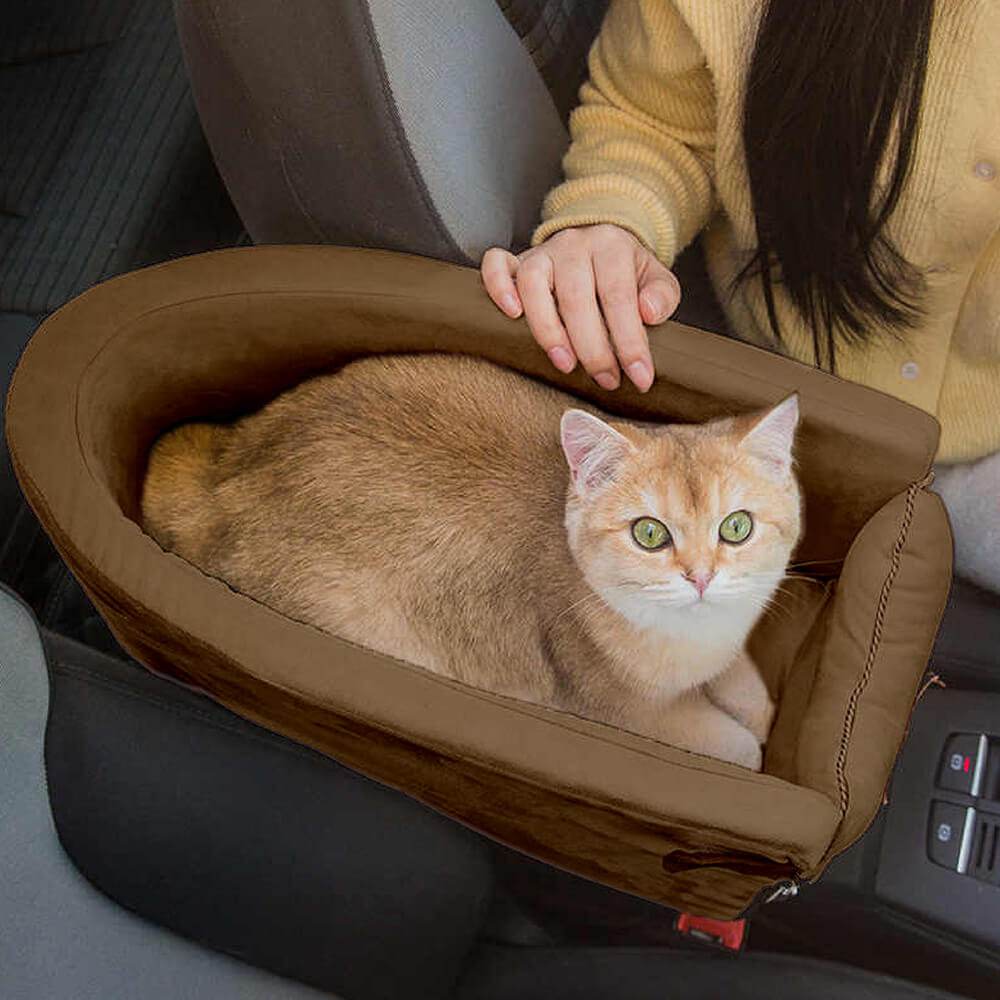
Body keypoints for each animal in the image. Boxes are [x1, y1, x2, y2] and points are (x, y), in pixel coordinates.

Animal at [141, 354, 800, 772]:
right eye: (649, 533)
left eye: (736, 527)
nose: (700, 577)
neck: (690, 640)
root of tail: (221, 481)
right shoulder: (629, 712)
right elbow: (736, 746)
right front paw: (751, 745)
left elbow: (751, 691)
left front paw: (757, 705)